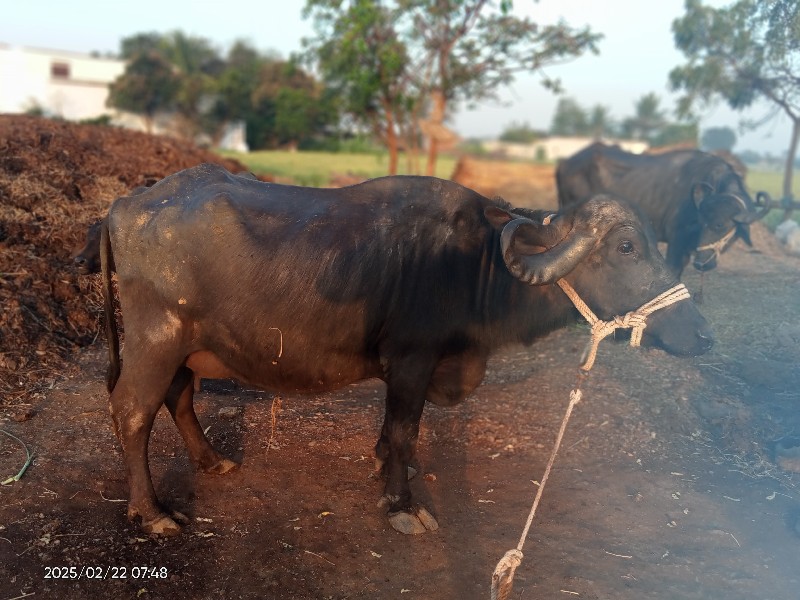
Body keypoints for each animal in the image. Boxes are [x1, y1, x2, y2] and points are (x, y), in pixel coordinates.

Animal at [101, 163, 712, 536]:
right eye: (628, 247)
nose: (703, 335)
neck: (474, 264)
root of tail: (126, 207)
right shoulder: (412, 360)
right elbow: (403, 429)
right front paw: (401, 502)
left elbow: (395, 432)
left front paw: (388, 468)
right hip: (156, 340)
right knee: (132, 411)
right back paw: (152, 512)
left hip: (185, 348)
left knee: (179, 399)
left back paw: (212, 460)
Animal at [556, 143, 768, 274]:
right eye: (707, 222)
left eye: (719, 225)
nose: (701, 264)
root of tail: (565, 163)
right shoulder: (676, 238)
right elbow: (673, 268)